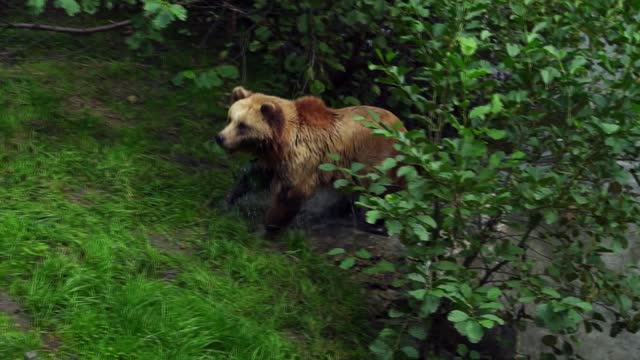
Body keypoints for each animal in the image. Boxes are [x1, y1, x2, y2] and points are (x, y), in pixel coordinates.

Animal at [216, 86, 404, 238]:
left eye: (243, 126)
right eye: (230, 118)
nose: (220, 138)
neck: (281, 142)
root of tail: (402, 127)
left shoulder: (302, 160)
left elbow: (290, 194)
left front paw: (266, 228)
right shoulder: (274, 161)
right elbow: (253, 177)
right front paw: (227, 200)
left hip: (377, 159)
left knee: (378, 191)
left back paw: (374, 225)